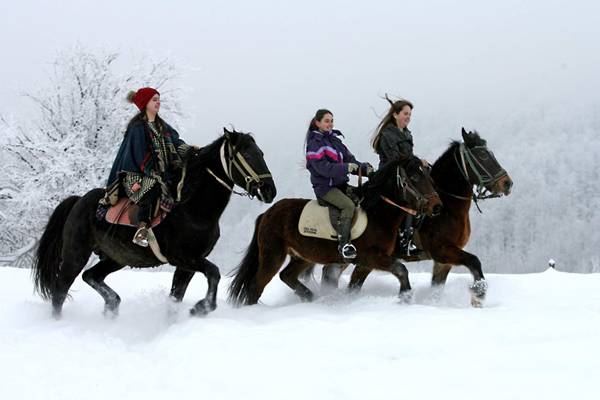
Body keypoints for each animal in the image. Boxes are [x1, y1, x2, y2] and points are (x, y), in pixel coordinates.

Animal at [32, 129, 276, 318]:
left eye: (261, 153)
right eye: (246, 154)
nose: (269, 190)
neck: (192, 208)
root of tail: (78, 201)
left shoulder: (187, 265)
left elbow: (176, 298)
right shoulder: (183, 257)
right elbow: (214, 272)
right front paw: (201, 308)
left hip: (115, 258)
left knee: (91, 276)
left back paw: (112, 304)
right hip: (75, 255)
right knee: (60, 291)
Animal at [227, 159, 442, 306]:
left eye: (430, 177)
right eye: (414, 177)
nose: (437, 207)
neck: (377, 212)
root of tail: (267, 213)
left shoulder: (364, 262)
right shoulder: (371, 257)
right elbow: (401, 269)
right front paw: (405, 296)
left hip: (303, 256)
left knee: (286, 276)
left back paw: (311, 297)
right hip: (273, 255)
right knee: (256, 286)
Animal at [322, 128, 512, 306]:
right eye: (482, 155)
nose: (507, 183)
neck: (447, 206)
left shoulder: (444, 261)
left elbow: (437, 287)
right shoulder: (443, 250)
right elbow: (474, 261)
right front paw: (478, 294)